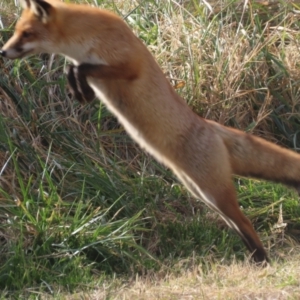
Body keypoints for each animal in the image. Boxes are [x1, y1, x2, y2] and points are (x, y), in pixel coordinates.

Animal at [1, 0, 298, 264]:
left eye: (26, 33)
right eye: (16, 31)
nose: (3, 52)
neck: (86, 38)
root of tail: (209, 126)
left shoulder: (130, 65)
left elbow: (80, 67)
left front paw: (78, 84)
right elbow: (73, 69)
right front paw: (79, 89)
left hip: (213, 192)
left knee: (244, 220)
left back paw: (263, 261)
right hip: (201, 192)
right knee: (238, 225)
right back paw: (257, 261)